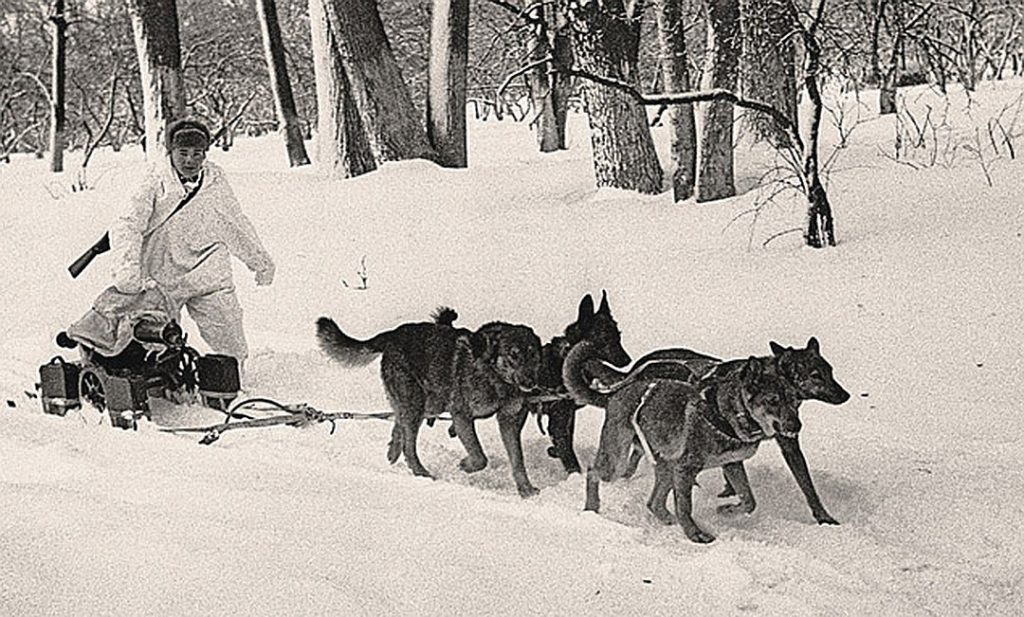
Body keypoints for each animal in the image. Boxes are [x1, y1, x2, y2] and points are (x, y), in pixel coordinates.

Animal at [315, 309, 544, 497]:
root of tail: (394, 334)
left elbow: (517, 459)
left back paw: (393, 452)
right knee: (409, 444)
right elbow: (479, 456)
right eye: (513, 355)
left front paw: (526, 490)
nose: (531, 382)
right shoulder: (461, 415)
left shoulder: (509, 420)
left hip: (430, 403)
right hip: (416, 403)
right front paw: (466, 465)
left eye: (534, 355)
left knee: (399, 424)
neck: (495, 377)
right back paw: (420, 472)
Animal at [528, 290, 630, 472]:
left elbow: (567, 441)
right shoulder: (559, 420)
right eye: (604, 337)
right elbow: (569, 456)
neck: (563, 359)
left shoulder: (568, 414)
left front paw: (554, 451)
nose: (627, 360)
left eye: (618, 335)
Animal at [565, 339, 802, 544]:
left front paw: (728, 510)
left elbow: (749, 500)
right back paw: (592, 508)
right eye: (773, 401)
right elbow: (685, 507)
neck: (727, 414)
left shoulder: (732, 464)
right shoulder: (686, 469)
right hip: (617, 463)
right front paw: (694, 534)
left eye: (795, 401)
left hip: (666, 467)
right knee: (593, 472)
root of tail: (615, 395)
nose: (796, 427)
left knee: (654, 503)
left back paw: (667, 519)